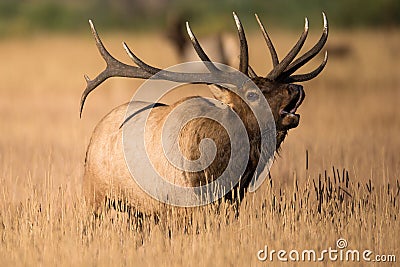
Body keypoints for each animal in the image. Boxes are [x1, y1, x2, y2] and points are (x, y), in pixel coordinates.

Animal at [80, 12, 328, 216]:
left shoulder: (231, 201)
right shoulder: (176, 206)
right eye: (252, 94)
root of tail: (93, 137)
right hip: (95, 197)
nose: (296, 88)